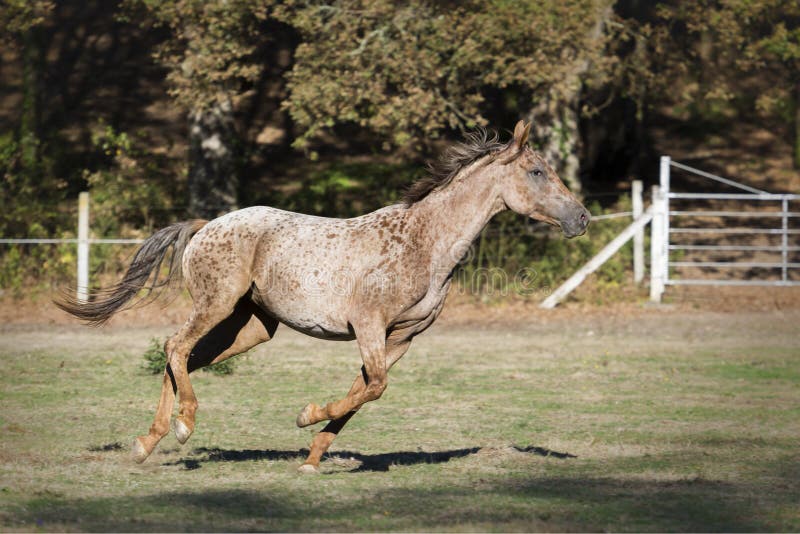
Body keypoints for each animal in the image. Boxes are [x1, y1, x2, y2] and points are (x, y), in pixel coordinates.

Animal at [56, 121, 588, 474]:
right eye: (537, 172)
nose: (581, 217)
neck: (423, 243)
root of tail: (208, 225)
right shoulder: (369, 326)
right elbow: (374, 387)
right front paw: (304, 417)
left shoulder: (401, 338)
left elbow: (363, 392)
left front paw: (312, 458)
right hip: (216, 305)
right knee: (175, 347)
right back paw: (183, 426)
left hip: (252, 326)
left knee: (182, 357)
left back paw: (148, 443)